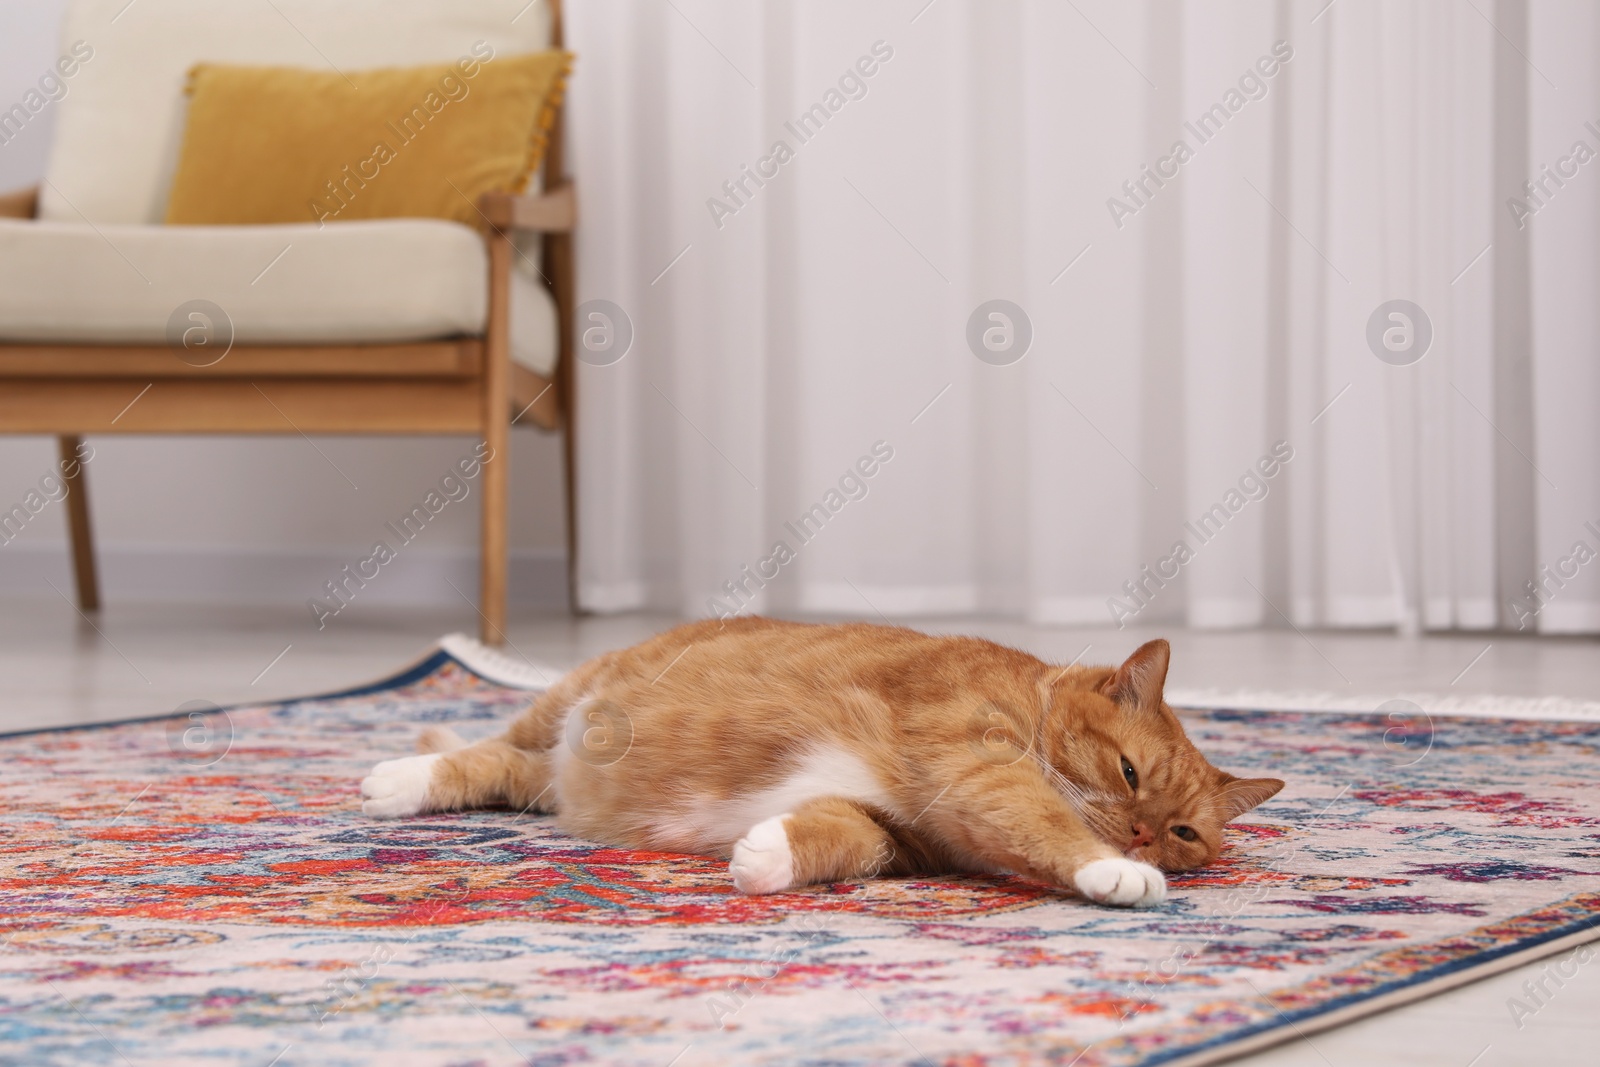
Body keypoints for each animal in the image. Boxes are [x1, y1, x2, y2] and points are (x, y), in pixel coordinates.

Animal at [356, 617, 1280, 908]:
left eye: (1185, 832)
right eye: (1128, 774)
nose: (1141, 837)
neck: (1028, 698)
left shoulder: (896, 832)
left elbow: (843, 837)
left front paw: (766, 855)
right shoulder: (975, 765)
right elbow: (1044, 817)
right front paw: (1113, 871)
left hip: (553, 762)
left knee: (507, 770)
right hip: (571, 697)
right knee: (484, 750)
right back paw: (394, 778)